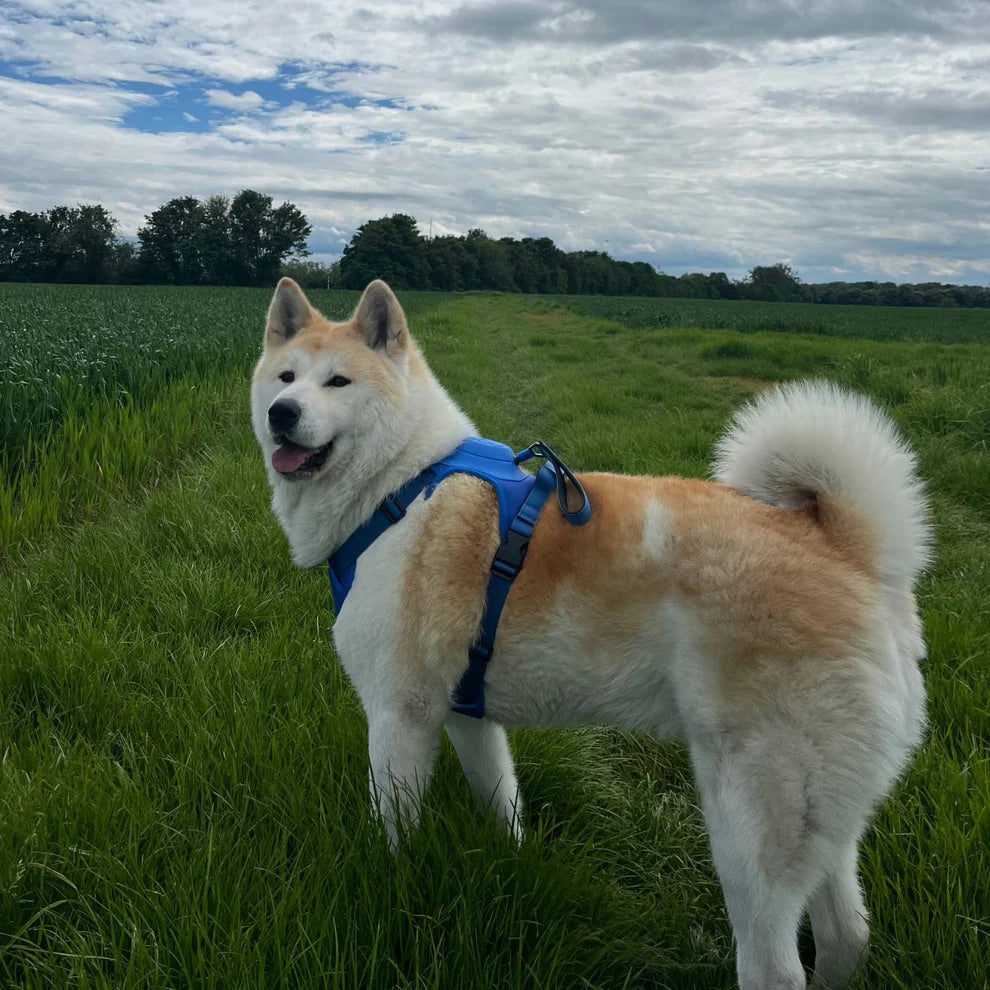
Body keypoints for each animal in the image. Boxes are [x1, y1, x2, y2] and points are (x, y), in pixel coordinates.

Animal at [254, 278, 928, 990]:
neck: (400, 487)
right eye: (287, 377)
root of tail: (850, 552)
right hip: (823, 819)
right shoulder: (468, 715)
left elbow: (396, 835)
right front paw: (513, 866)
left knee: (776, 964)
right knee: (846, 933)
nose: (281, 412)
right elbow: (503, 806)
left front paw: (396, 886)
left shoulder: (398, 716)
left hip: (751, 827)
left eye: (340, 382)